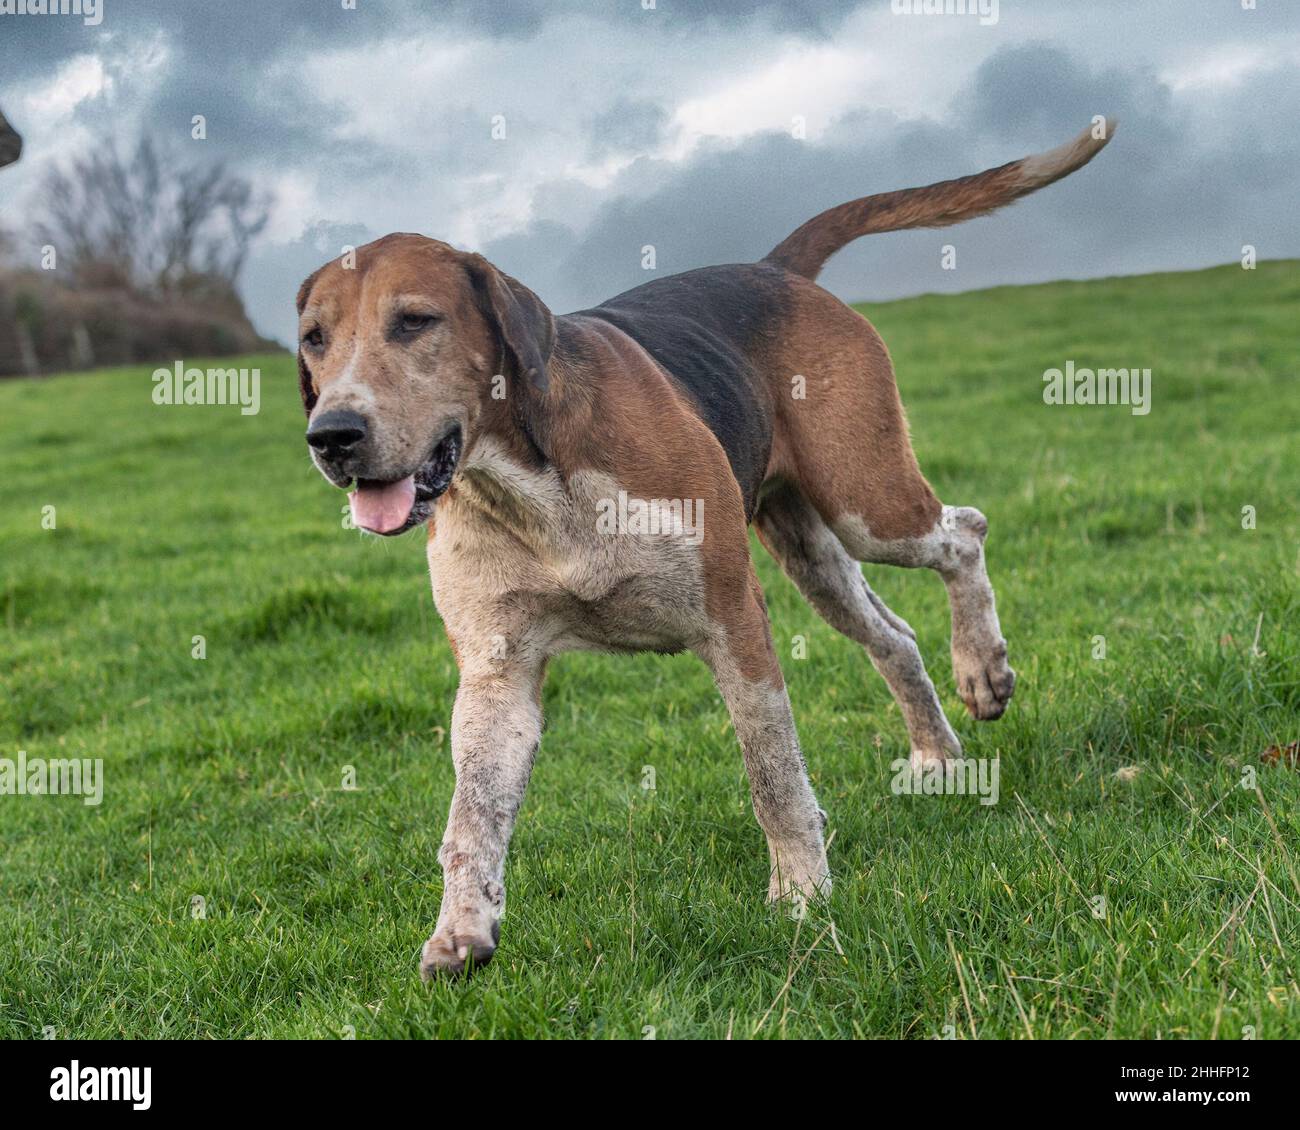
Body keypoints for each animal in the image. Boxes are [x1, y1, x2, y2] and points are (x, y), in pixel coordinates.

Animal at [297, 117, 1118, 977]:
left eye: (415, 322)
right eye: (314, 339)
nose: (332, 435)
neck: (531, 484)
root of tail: (773, 268)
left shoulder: (734, 623)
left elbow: (773, 774)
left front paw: (802, 896)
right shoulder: (497, 676)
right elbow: (472, 819)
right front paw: (461, 929)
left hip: (868, 502)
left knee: (965, 534)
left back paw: (983, 670)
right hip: (814, 554)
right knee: (893, 636)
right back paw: (936, 758)